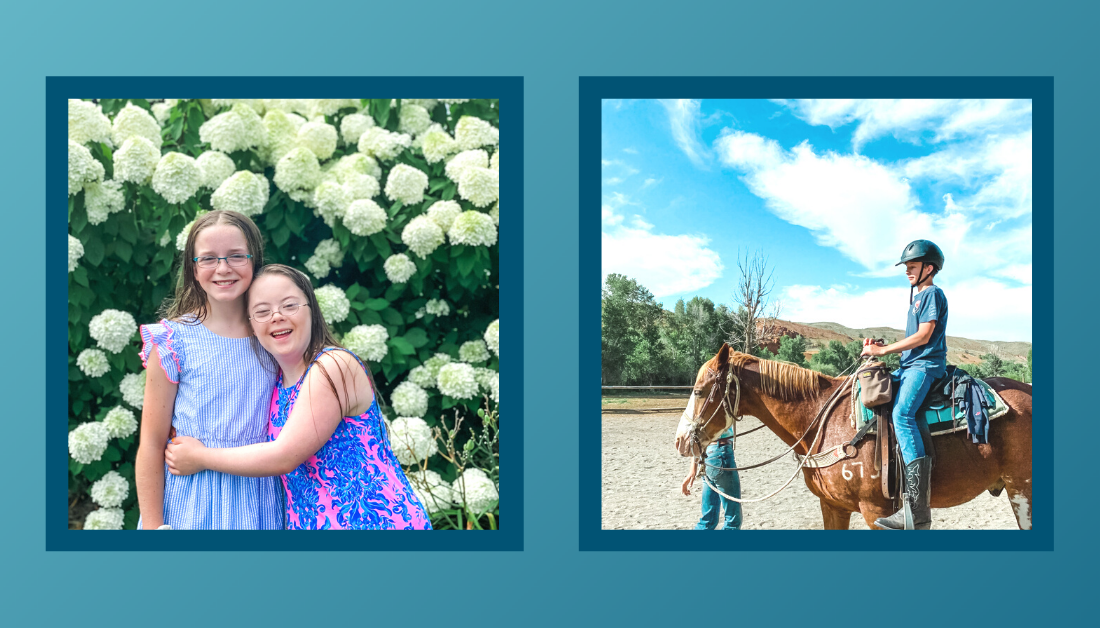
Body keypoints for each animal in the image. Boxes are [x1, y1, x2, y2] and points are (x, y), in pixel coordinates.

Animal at [673, 343, 1034, 530]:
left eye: (699, 390)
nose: (680, 441)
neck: (823, 421)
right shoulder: (832, 506)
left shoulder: (876, 512)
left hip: (1023, 490)